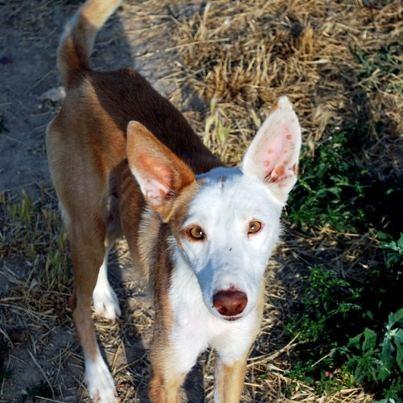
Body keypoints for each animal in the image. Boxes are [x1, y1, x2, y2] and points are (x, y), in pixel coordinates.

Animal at [45, 1, 302, 402]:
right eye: (195, 233)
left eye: (255, 226)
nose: (231, 302)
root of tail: (85, 77)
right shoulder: (165, 375)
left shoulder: (232, 360)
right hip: (86, 217)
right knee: (77, 302)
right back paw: (98, 378)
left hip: (112, 214)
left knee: (104, 252)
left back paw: (103, 296)